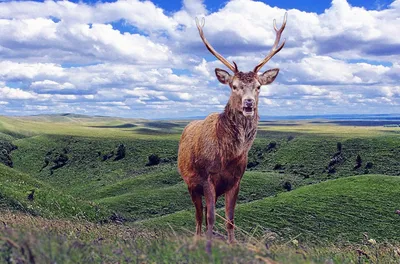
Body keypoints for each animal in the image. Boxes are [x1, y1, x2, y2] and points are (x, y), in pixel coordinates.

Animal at [178, 12, 288, 252]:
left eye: (258, 87)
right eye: (234, 86)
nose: (248, 103)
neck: (227, 156)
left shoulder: (236, 179)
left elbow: (230, 218)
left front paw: (232, 244)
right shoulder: (207, 177)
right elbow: (210, 217)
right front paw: (208, 246)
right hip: (190, 182)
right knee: (198, 215)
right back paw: (197, 239)